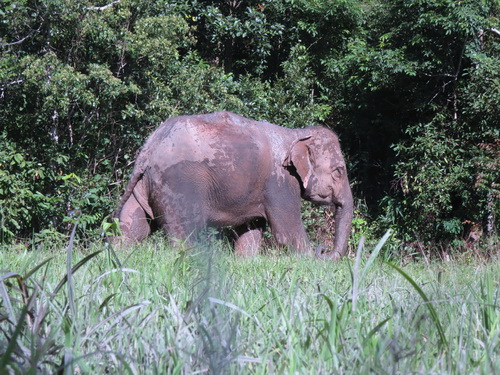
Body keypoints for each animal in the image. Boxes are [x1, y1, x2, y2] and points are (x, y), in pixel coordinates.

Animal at [114, 110, 354, 260]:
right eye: (339, 171)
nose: (323, 249)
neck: (297, 133)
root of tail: (151, 145)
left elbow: (251, 230)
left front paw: (245, 261)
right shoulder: (280, 181)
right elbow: (287, 232)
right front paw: (312, 259)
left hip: (144, 183)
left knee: (133, 228)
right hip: (179, 183)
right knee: (184, 234)